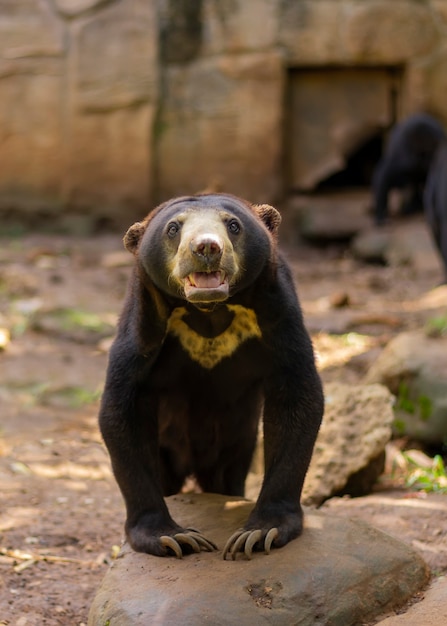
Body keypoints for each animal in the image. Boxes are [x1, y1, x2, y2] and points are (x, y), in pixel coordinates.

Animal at [98, 193, 324, 560]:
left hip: (235, 446)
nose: (206, 247)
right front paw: (172, 537)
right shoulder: (143, 329)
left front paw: (261, 532)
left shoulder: (278, 317)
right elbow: (122, 409)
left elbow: (297, 396)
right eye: (173, 228)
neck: (209, 311)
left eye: (232, 225)